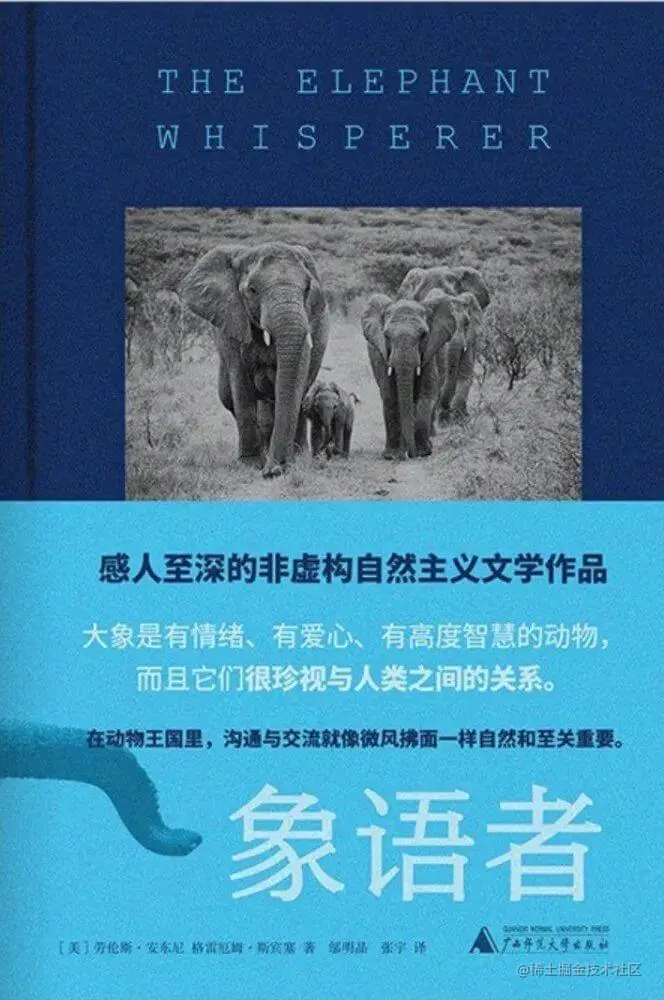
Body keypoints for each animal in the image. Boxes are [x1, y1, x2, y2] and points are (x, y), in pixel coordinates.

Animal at [181, 241, 330, 478]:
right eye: (252, 290)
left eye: (307, 289)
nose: (274, 470)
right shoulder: (231, 324)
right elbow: (241, 388)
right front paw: (250, 465)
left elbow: (295, 383)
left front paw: (284, 464)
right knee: (228, 396)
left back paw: (295, 455)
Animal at [362, 291, 475, 459]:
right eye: (386, 336)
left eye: (423, 335)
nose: (410, 453)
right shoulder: (382, 356)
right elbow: (390, 396)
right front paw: (392, 456)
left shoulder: (429, 354)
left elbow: (426, 395)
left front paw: (423, 452)